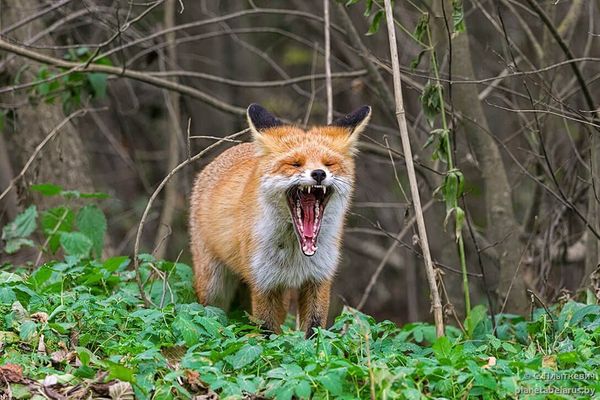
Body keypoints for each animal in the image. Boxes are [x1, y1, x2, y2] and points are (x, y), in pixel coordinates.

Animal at [190, 103, 372, 338]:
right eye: (295, 164)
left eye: (329, 163)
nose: (319, 173)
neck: (296, 252)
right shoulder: (263, 283)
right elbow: (268, 335)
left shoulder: (319, 278)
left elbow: (314, 332)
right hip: (213, 287)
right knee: (211, 313)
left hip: (282, 298)